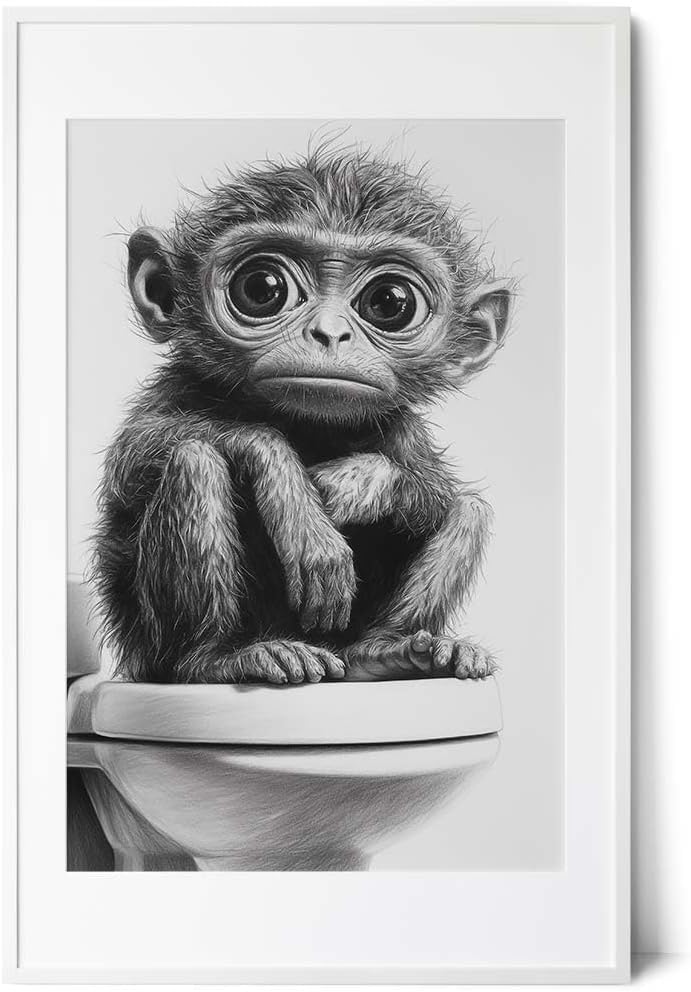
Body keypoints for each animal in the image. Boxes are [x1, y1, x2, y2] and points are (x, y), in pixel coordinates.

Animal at [92, 143, 512, 686]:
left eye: (389, 302)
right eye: (261, 288)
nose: (329, 333)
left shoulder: (404, 429)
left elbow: (436, 490)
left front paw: (361, 483)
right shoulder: (176, 386)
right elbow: (133, 457)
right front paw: (293, 496)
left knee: (469, 510)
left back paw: (386, 652)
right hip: (149, 653)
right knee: (194, 460)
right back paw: (219, 657)